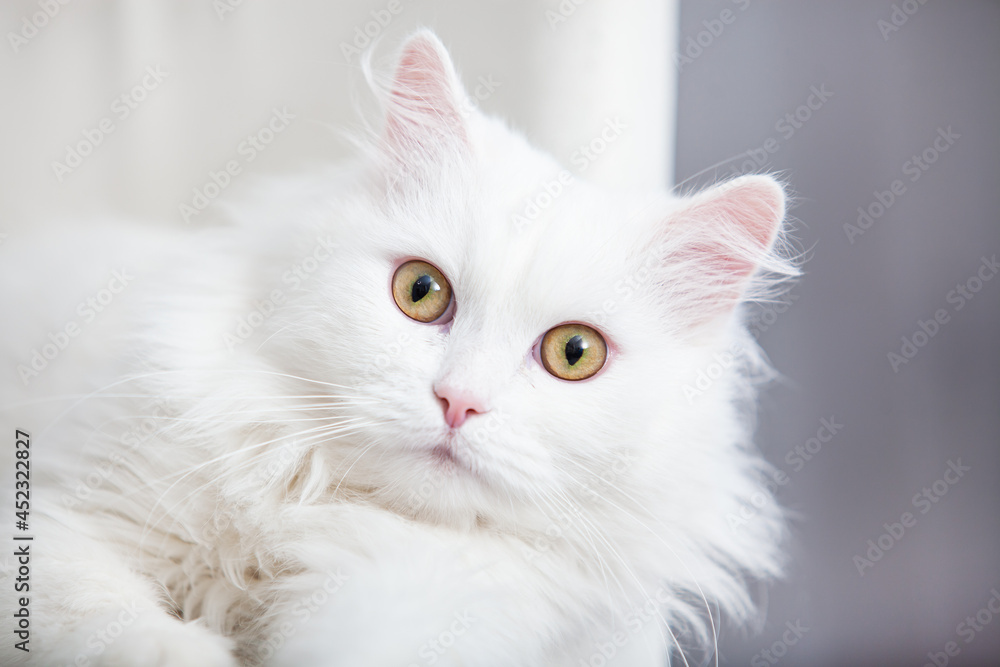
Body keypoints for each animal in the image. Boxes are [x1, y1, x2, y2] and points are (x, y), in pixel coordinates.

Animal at [0, 30, 796, 667]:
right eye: (420, 291)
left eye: (575, 353)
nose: (458, 401)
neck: (307, 511)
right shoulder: (65, 526)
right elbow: (130, 630)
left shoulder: (421, 600)